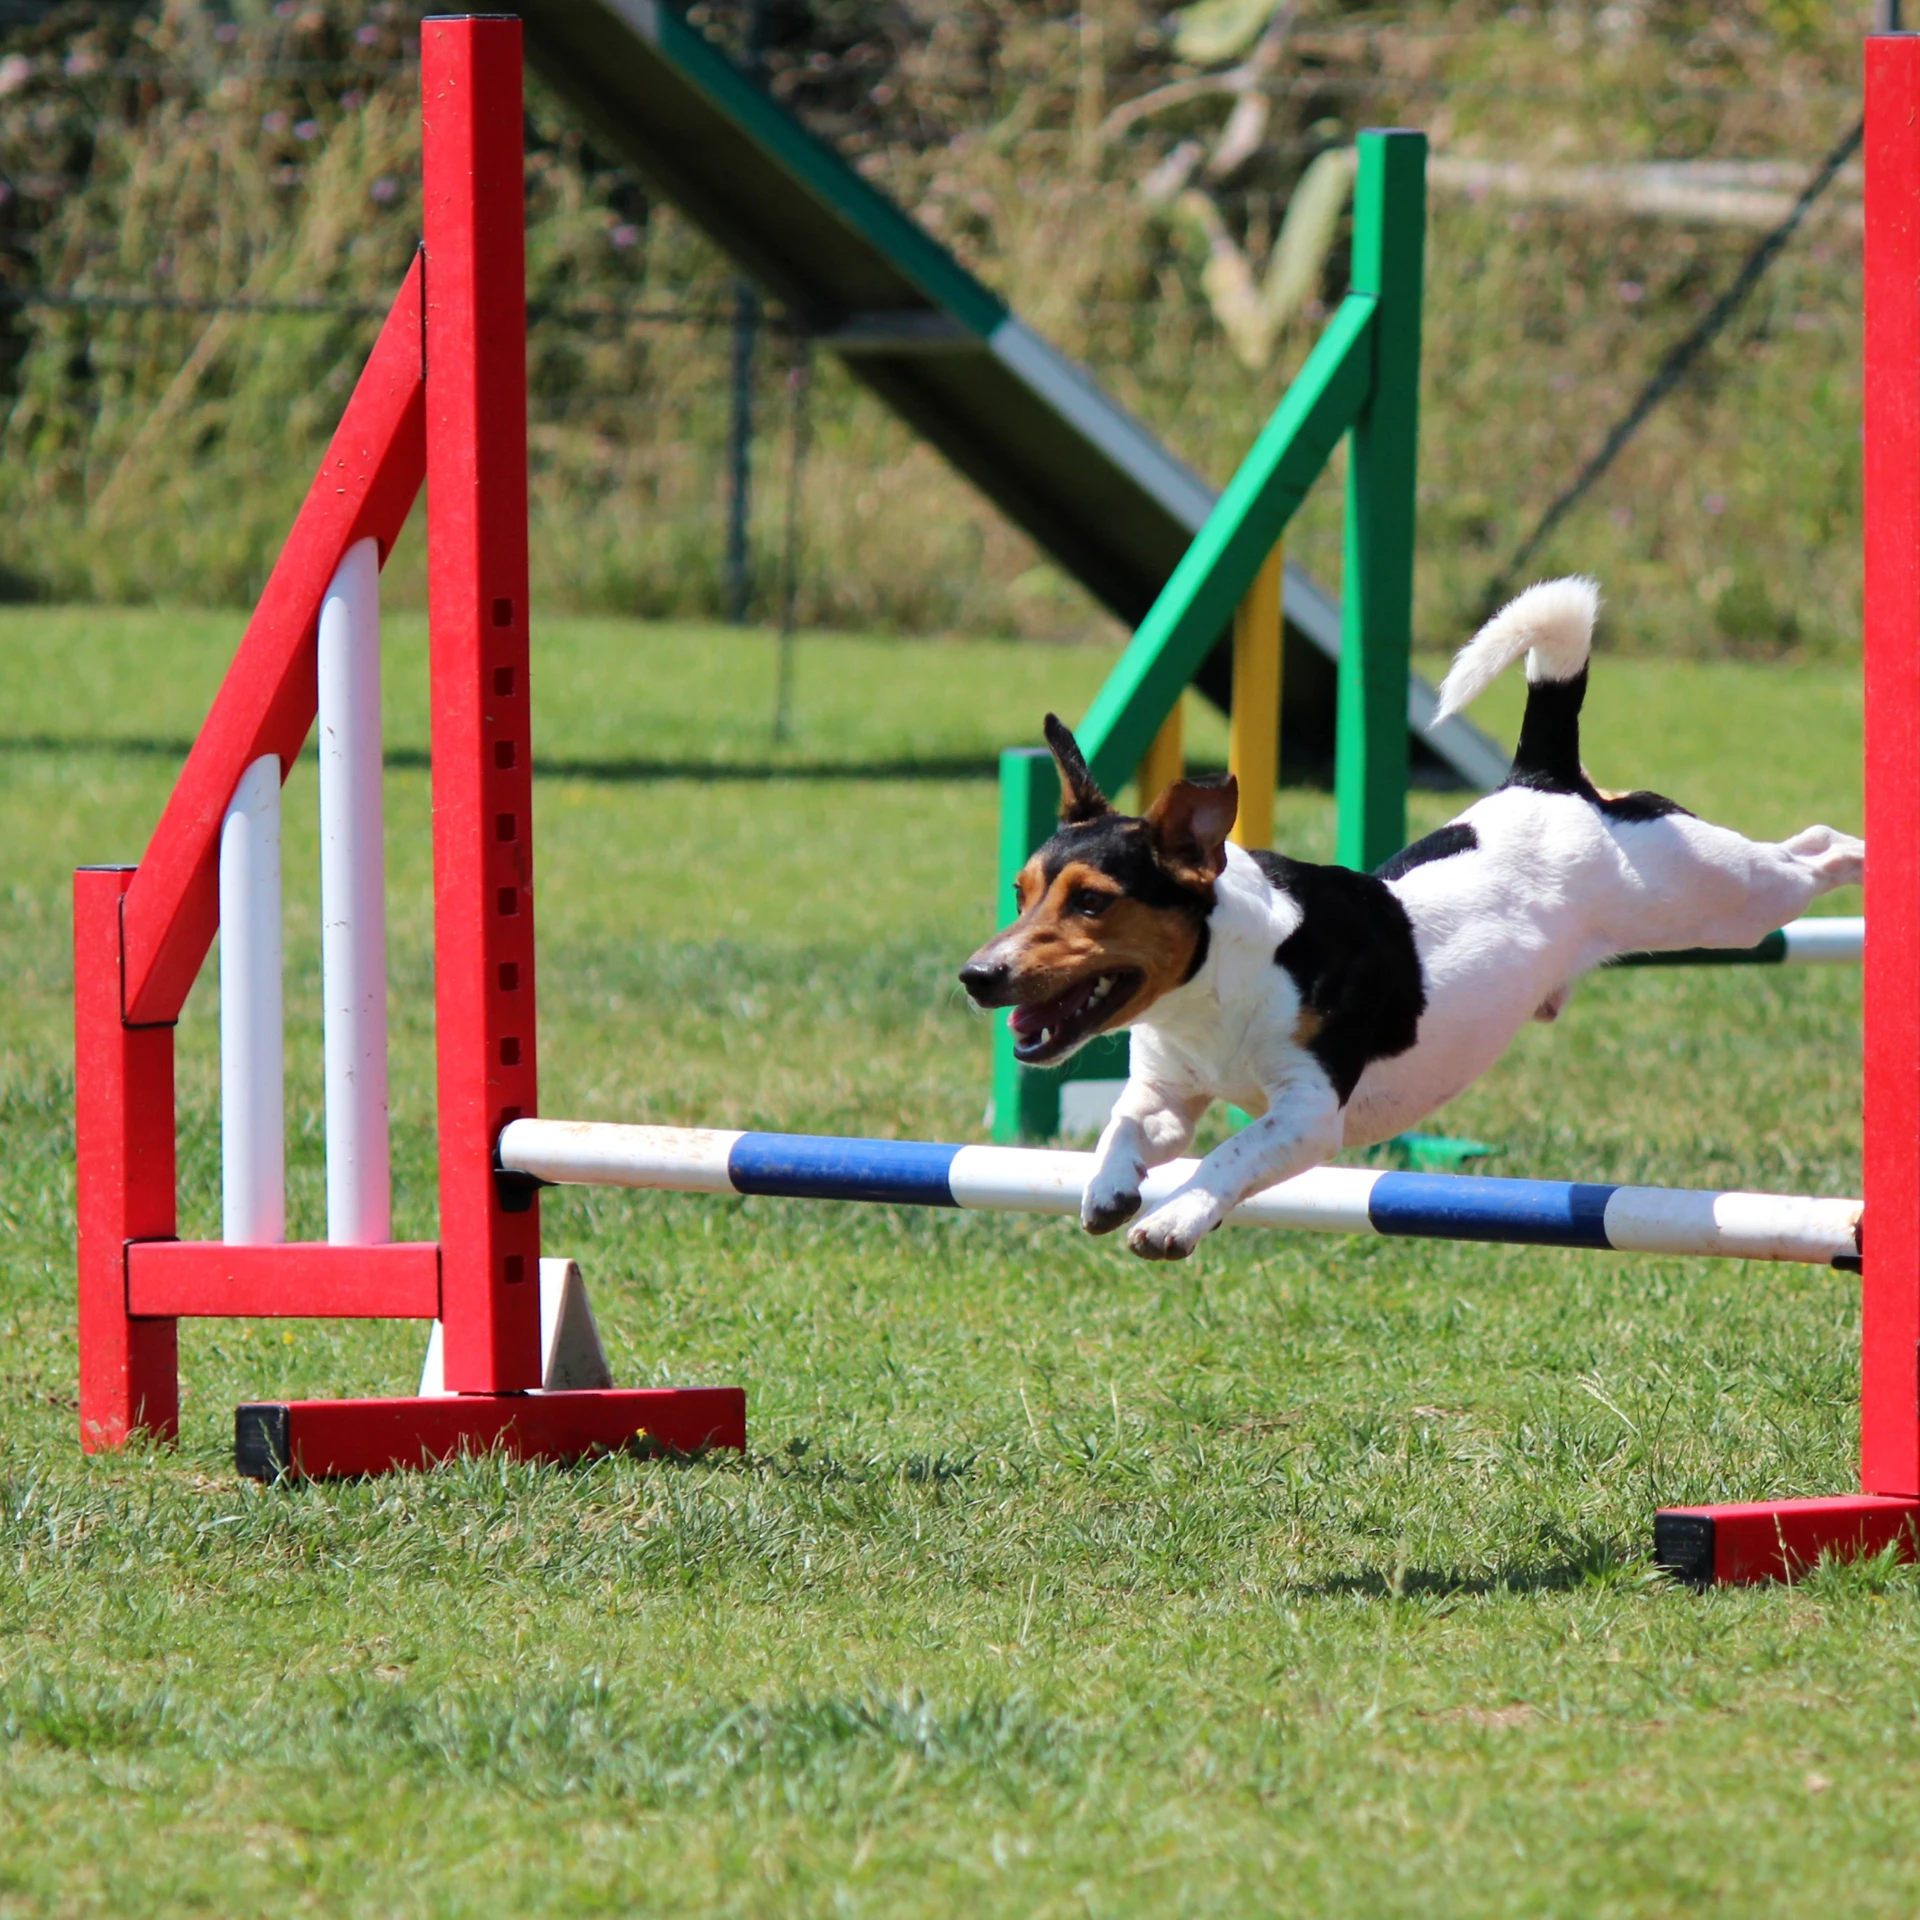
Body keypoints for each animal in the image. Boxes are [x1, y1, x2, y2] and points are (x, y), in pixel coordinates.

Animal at [960, 576, 1858, 1267]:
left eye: (1092, 901)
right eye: (1020, 892)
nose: (977, 977)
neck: (1220, 980)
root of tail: (1548, 780)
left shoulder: (1307, 1113)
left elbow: (1228, 1154)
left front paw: (1174, 1217)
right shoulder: (1164, 1095)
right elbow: (1121, 1127)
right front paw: (1111, 1188)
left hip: (1725, 896)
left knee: (1814, 848)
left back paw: (1866, 857)